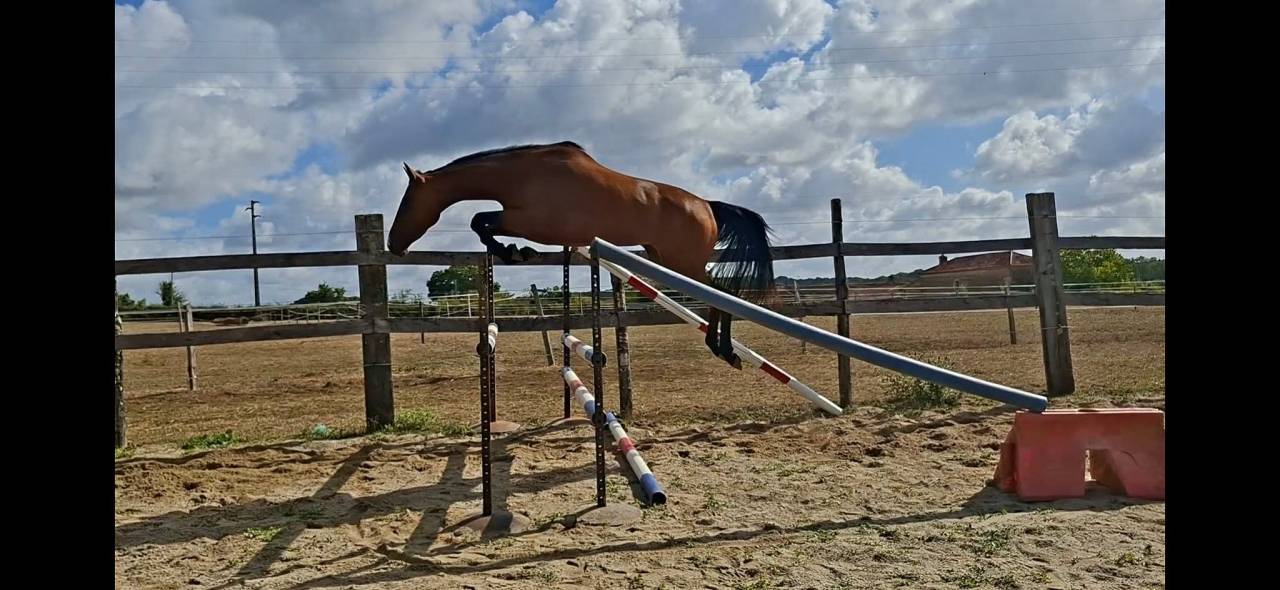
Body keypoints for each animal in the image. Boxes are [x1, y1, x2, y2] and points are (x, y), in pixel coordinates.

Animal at [386, 141, 775, 368]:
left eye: (407, 201)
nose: (393, 243)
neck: (521, 174)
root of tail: (707, 205)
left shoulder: (529, 222)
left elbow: (479, 221)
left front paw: (516, 252)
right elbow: (481, 223)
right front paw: (515, 252)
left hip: (684, 263)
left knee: (722, 292)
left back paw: (723, 349)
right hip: (667, 259)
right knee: (718, 293)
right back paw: (724, 348)